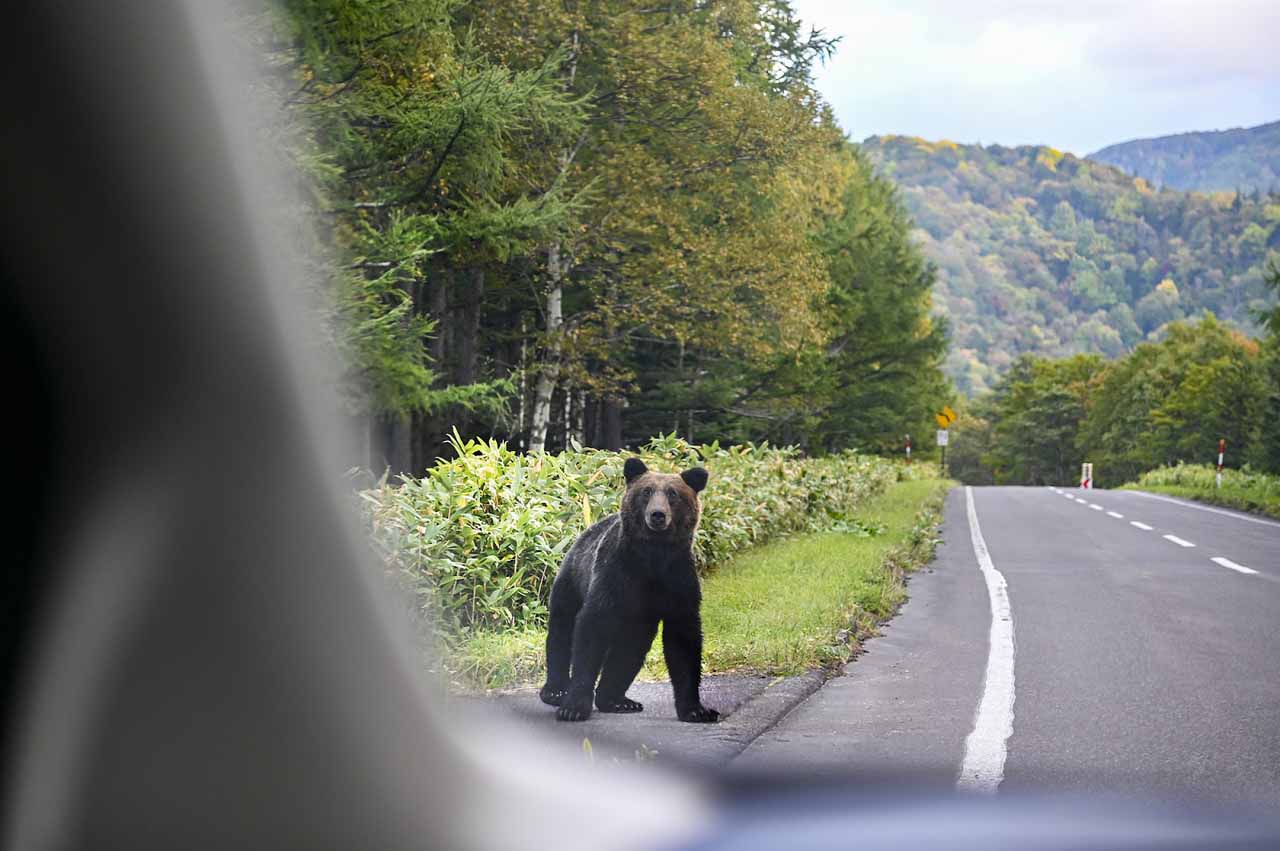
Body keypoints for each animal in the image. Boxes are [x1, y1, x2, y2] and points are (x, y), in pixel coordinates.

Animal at [540, 460, 721, 721]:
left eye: (673, 494)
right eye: (646, 491)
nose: (657, 515)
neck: (653, 555)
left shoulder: (677, 579)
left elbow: (683, 640)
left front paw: (697, 710)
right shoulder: (615, 574)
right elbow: (590, 630)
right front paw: (573, 707)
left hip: (638, 621)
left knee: (629, 650)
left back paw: (617, 700)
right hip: (572, 580)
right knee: (561, 631)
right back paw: (555, 690)